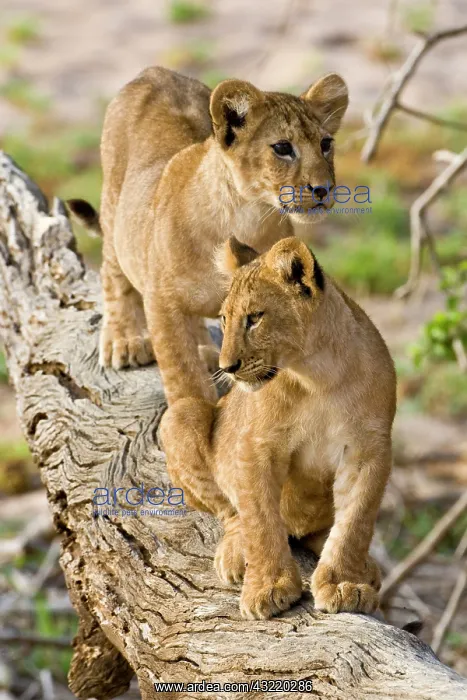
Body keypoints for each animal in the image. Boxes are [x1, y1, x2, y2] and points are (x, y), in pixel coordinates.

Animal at [68, 66, 348, 406]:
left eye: (326, 144)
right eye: (282, 148)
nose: (324, 189)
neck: (250, 216)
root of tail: (154, 71)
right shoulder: (161, 302)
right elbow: (182, 375)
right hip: (114, 206)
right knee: (113, 270)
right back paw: (125, 339)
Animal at [160, 236, 396, 620]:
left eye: (255, 318)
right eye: (224, 319)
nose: (227, 367)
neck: (318, 376)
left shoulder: (368, 449)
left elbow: (355, 522)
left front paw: (344, 583)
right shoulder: (255, 445)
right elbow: (260, 521)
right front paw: (268, 588)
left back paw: (365, 567)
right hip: (180, 416)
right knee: (230, 512)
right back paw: (236, 552)